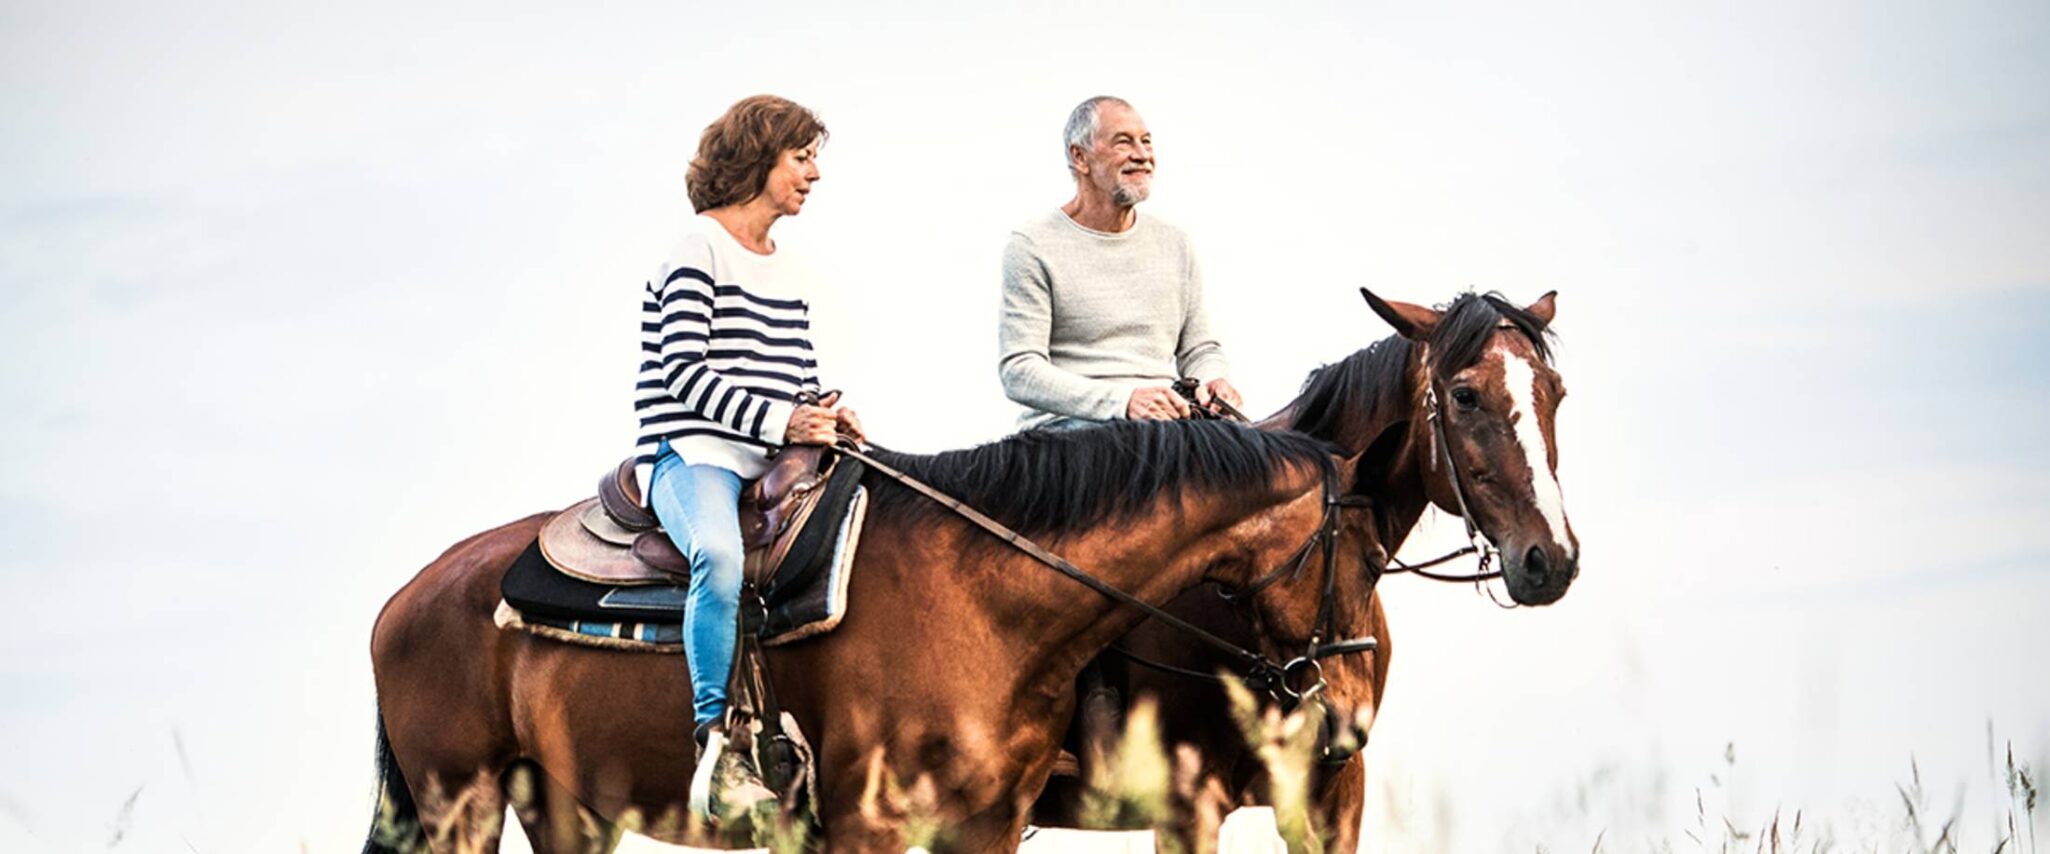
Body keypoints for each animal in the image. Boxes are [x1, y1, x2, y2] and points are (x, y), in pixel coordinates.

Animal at [369, 419, 1394, 851]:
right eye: (1357, 556)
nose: (1349, 722)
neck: (989, 598)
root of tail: (402, 600)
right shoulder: (867, 828)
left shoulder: (984, 829)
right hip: (461, 805)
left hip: (565, 810)